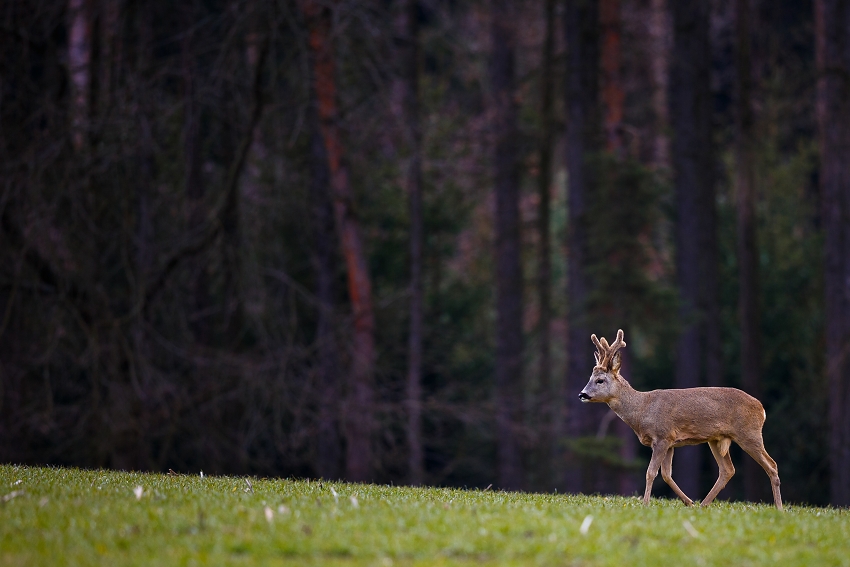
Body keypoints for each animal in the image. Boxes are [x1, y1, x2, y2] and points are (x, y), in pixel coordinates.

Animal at [578, 329, 783, 510]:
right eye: (589, 377)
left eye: (600, 380)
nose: (582, 394)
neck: (642, 409)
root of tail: (761, 408)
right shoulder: (671, 442)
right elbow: (667, 474)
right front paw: (689, 502)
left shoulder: (662, 436)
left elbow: (651, 472)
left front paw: (645, 504)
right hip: (716, 439)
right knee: (728, 470)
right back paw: (703, 504)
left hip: (749, 433)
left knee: (771, 465)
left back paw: (779, 508)